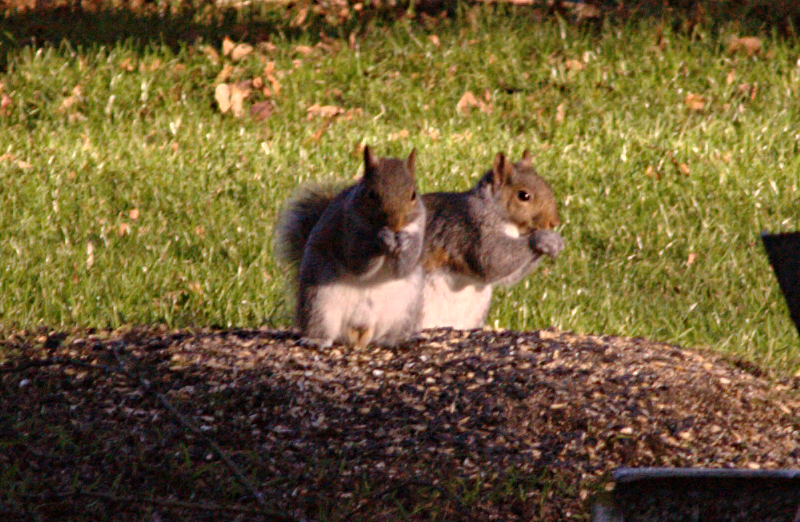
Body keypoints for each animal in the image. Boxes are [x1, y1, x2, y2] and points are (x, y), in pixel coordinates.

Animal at [274, 146, 426, 348]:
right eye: (371, 194)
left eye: (413, 195)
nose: (395, 225)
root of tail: (360, 330)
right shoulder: (346, 228)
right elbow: (357, 262)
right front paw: (380, 239)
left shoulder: (419, 227)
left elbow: (403, 268)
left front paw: (404, 241)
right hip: (319, 301)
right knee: (320, 325)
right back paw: (316, 339)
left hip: (405, 308)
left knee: (389, 333)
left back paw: (396, 339)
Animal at [420, 150, 563, 330]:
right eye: (524, 195)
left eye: (548, 186)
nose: (554, 222)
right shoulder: (470, 228)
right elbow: (492, 259)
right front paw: (542, 238)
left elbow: (507, 276)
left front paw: (555, 243)